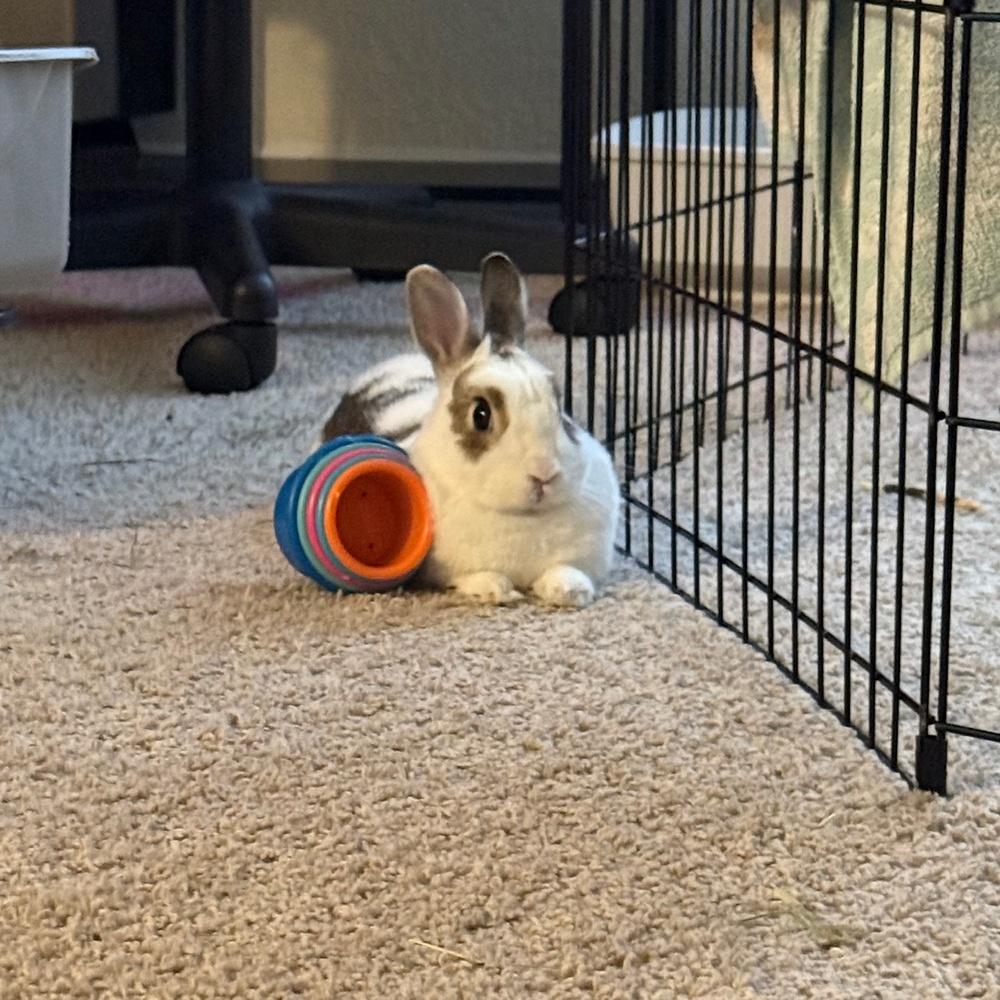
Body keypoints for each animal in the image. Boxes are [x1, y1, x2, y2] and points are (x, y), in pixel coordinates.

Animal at [320, 253, 620, 607]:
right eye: (481, 414)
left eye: (560, 407)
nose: (545, 473)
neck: (524, 517)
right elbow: (474, 576)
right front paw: (495, 589)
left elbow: (565, 569)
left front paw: (570, 590)